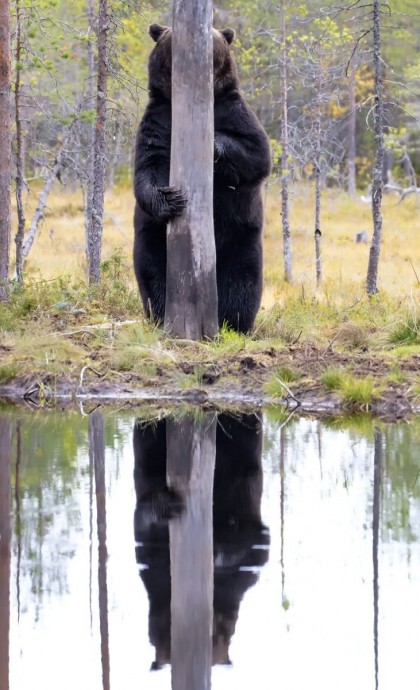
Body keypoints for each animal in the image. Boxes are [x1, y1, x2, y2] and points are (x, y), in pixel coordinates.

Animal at [135, 24, 272, 330]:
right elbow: (147, 167)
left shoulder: (234, 112)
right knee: (153, 274)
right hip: (153, 239)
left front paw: (214, 145)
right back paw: (161, 314)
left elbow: (256, 153)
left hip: (241, 238)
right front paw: (171, 198)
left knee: (241, 281)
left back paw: (235, 322)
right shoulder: (159, 120)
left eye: (214, 35)